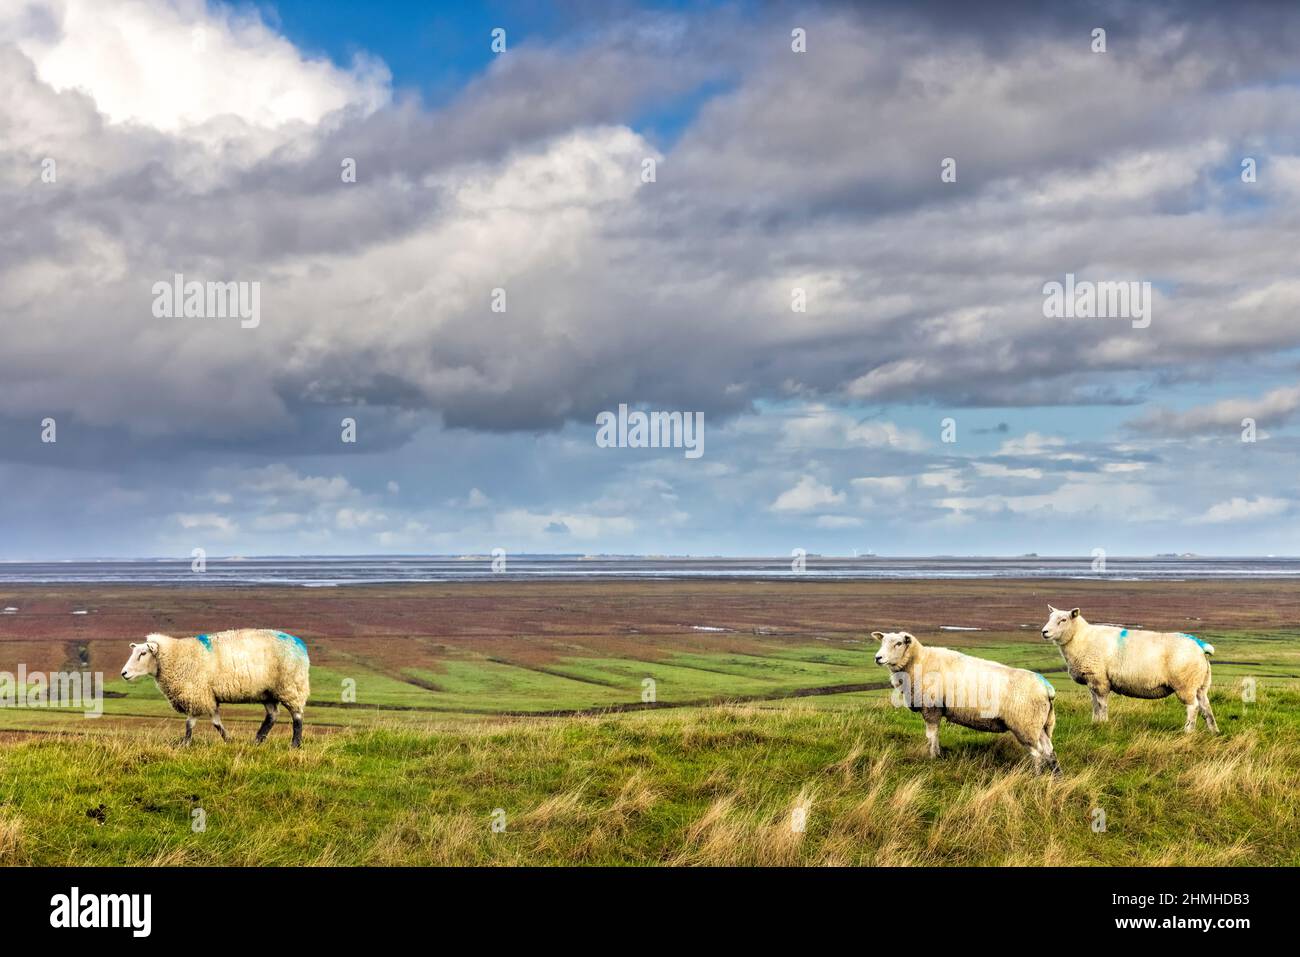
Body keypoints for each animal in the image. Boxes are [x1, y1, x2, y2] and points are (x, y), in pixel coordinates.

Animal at [122, 629, 314, 748]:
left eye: (143, 653)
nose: (123, 673)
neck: (177, 655)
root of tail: (300, 643)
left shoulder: (196, 693)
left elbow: (189, 723)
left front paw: (185, 744)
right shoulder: (207, 695)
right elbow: (216, 722)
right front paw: (229, 740)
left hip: (290, 685)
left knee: (297, 716)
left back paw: (295, 744)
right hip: (266, 692)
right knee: (272, 715)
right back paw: (257, 740)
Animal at [873, 629, 1055, 780]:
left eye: (898, 643)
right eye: (882, 642)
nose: (877, 658)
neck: (920, 661)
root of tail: (1046, 688)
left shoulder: (931, 708)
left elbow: (931, 736)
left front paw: (932, 758)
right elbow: (936, 735)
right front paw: (938, 755)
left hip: (1024, 724)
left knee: (1037, 753)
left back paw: (1036, 777)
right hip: (1039, 725)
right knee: (1049, 751)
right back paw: (1055, 777)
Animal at [1034, 605, 1216, 733]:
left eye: (1063, 620)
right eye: (1050, 617)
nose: (1044, 632)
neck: (1080, 638)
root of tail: (1200, 646)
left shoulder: (1100, 680)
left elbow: (1101, 704)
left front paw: (1103, 724)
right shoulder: (1092, 681)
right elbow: (1094, 704)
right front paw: (1095, 722)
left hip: (1185, 683)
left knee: (1193, 707)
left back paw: (1188, 731)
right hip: (1201, 684)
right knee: (1205, 707)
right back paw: (1213, 731)